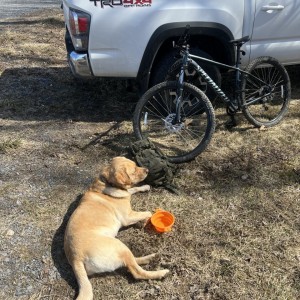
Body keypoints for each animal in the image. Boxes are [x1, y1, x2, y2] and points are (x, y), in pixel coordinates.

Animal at [63, 157, 169, 300]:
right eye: (133, 171)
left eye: (136, 165)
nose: (147, 170)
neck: (107, 183)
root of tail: (75, 259)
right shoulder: (127, 217)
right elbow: (147, 212)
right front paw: (148, 219)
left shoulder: (127, 193)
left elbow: (132, 189)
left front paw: (144, 187)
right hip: (119, 246)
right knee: (136, 271)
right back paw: (160, 272)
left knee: (131, 262)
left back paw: (151, 257)